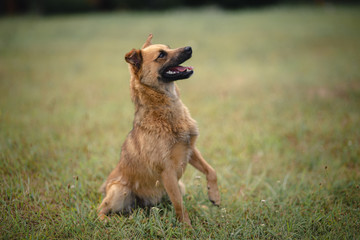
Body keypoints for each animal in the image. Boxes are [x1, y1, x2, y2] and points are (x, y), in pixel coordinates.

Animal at [97, 34, 219, 227]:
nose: (189, 48)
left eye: (168, 47)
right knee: (99, 210)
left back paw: (202, 207)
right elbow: (180, 206)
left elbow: (211, 171)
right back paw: (110, 220)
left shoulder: (190, 150)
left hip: (178, 186)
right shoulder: (167, 172)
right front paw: (187, 228)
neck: (165, 108)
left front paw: (214, 195)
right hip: (119, 190)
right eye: (161, 55)